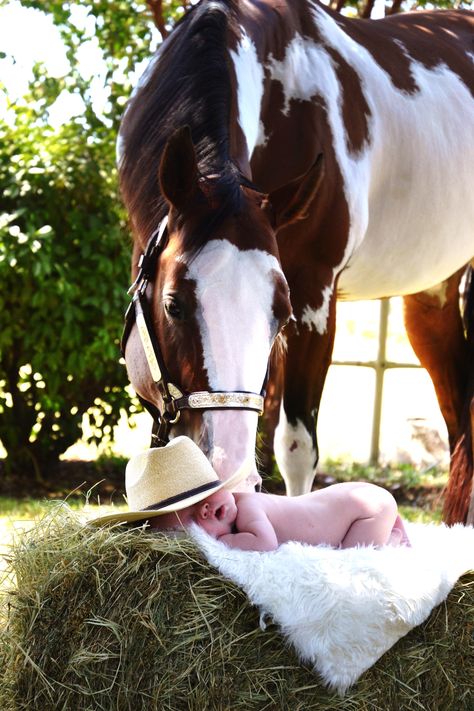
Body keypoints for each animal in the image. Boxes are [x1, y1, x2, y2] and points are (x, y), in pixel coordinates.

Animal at [117, 0, 474, 524]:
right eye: (173, 304)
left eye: (281, 314)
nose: (229, 473)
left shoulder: (313, 297)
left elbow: (296, 446)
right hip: (433, 293)